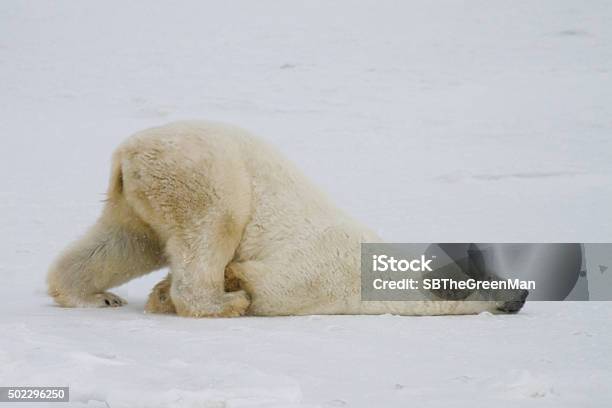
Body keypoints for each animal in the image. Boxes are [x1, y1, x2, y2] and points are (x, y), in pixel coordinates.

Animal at [47, 119, 524, 318]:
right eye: (493, 278)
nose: (521, 294)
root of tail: (128, 153)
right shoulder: (323, 277)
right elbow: (264, 287)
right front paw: (227, 288)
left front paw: (158, 295)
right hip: (200, 173)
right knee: (212, 226)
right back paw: (221, 303)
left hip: (141, 195)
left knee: (125, 241)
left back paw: (93, 296)